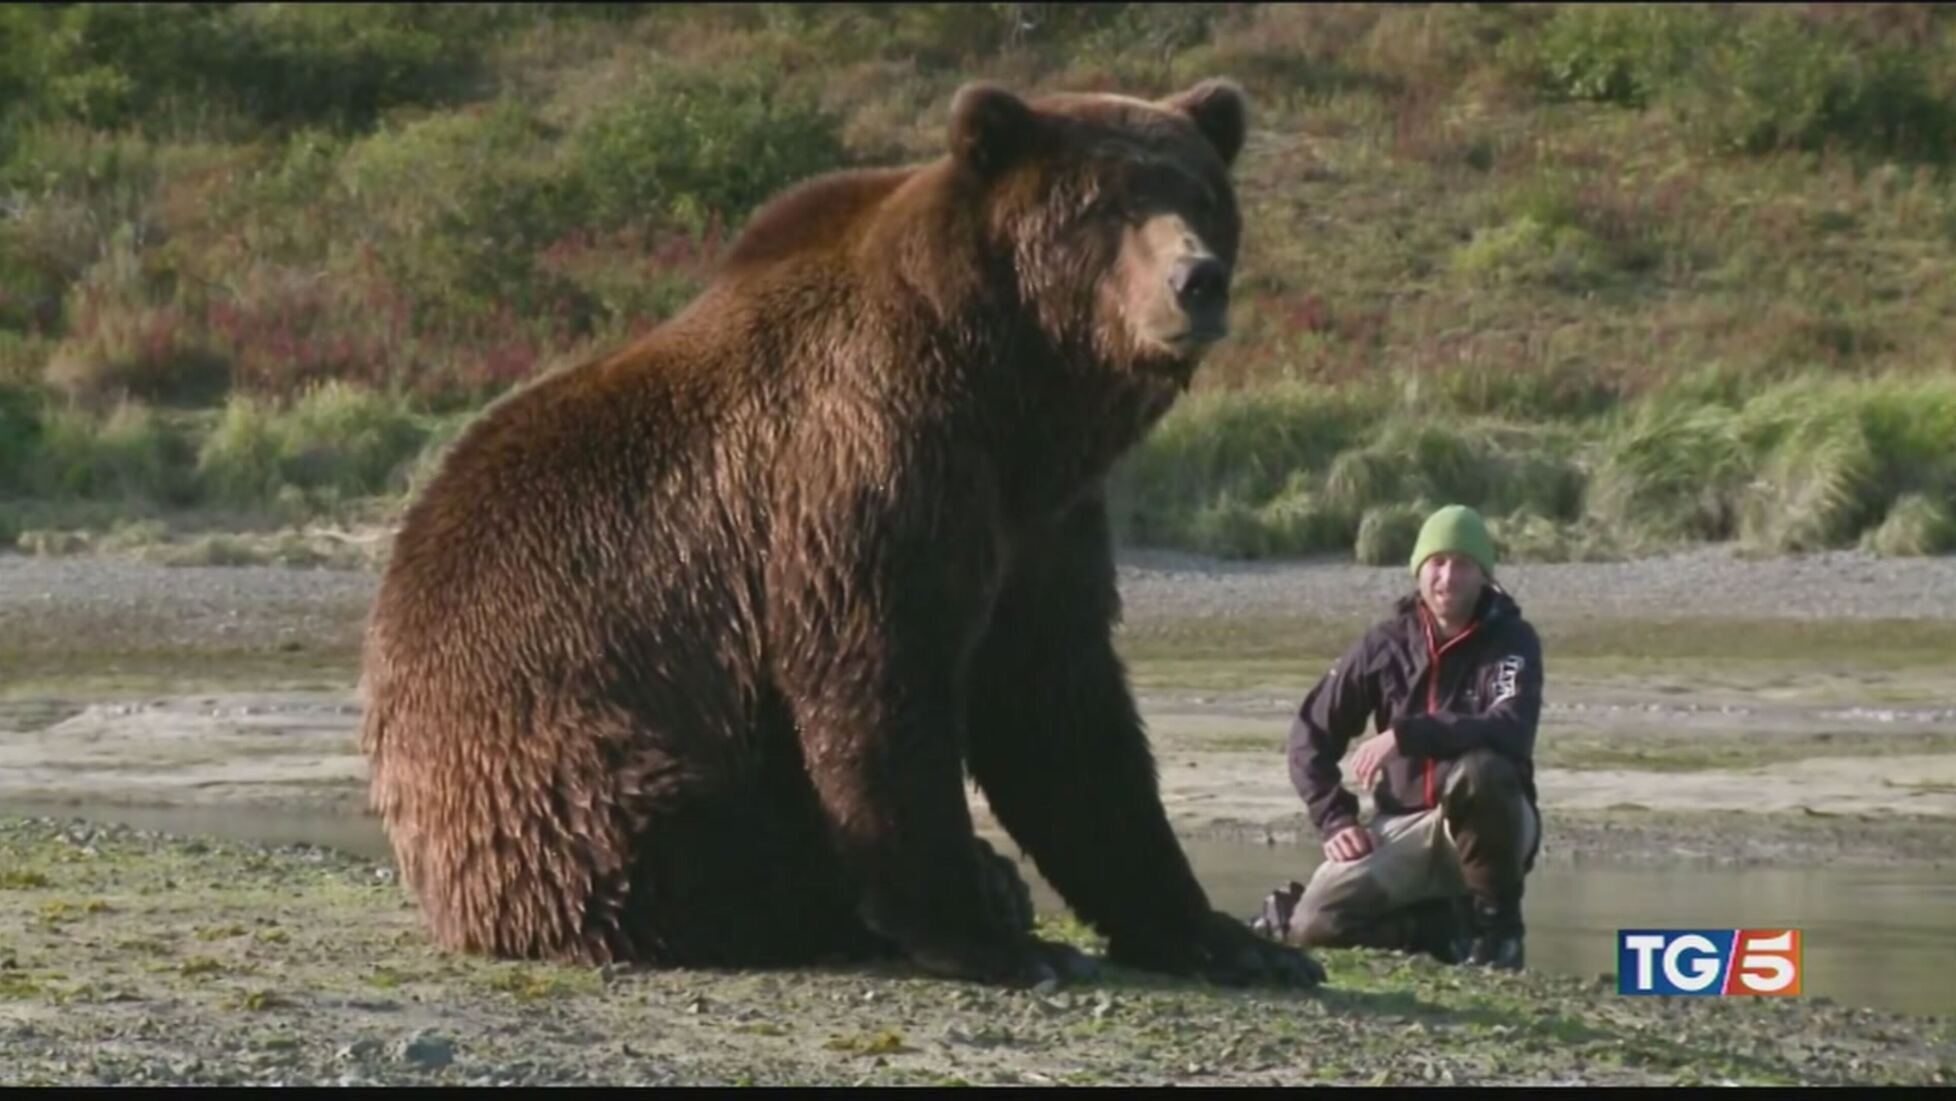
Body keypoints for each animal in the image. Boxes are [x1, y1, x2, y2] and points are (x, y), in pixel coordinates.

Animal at [358, 75, 1324, 990]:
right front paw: (989, 938)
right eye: (1108, 204)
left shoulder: (1044, 520)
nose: (1197, 281)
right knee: (683, 843)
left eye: (1202, 196)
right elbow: (881, 683)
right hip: (553, 756)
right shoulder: (866, 471)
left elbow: (1063, 711)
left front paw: (1229, 940)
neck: (1013, 391)